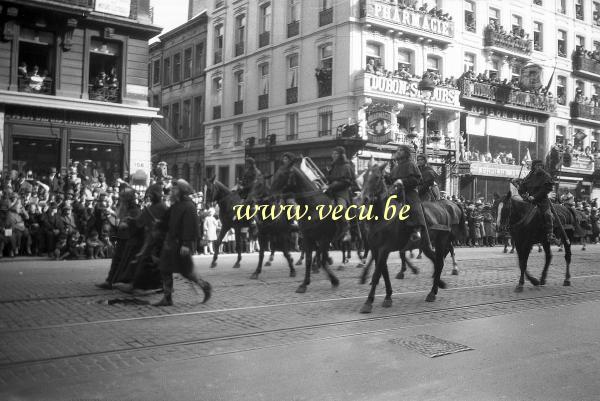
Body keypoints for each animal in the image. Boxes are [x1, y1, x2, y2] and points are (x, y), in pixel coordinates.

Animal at [270, 161, 340, 292]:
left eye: (283, 174)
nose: (271, 196)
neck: (313, 206)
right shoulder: (308, 237)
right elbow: (309, 260)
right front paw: (304, 284)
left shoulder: (324, 237)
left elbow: (321, 259)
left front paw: (334, 280)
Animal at [358, 162, 466, 312]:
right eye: (364, 177)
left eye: (377, 177)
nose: (364, 199)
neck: (383, 215)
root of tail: (451, 205)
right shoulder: (376, 249)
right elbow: (384, 272)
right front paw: (388, 296)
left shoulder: (384, 249)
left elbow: (377, 273)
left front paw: (368, 302)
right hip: (426, 244)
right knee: (437, 260)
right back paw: (438, 283)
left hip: (441, 241)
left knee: (441, 260)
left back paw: (433, 292)